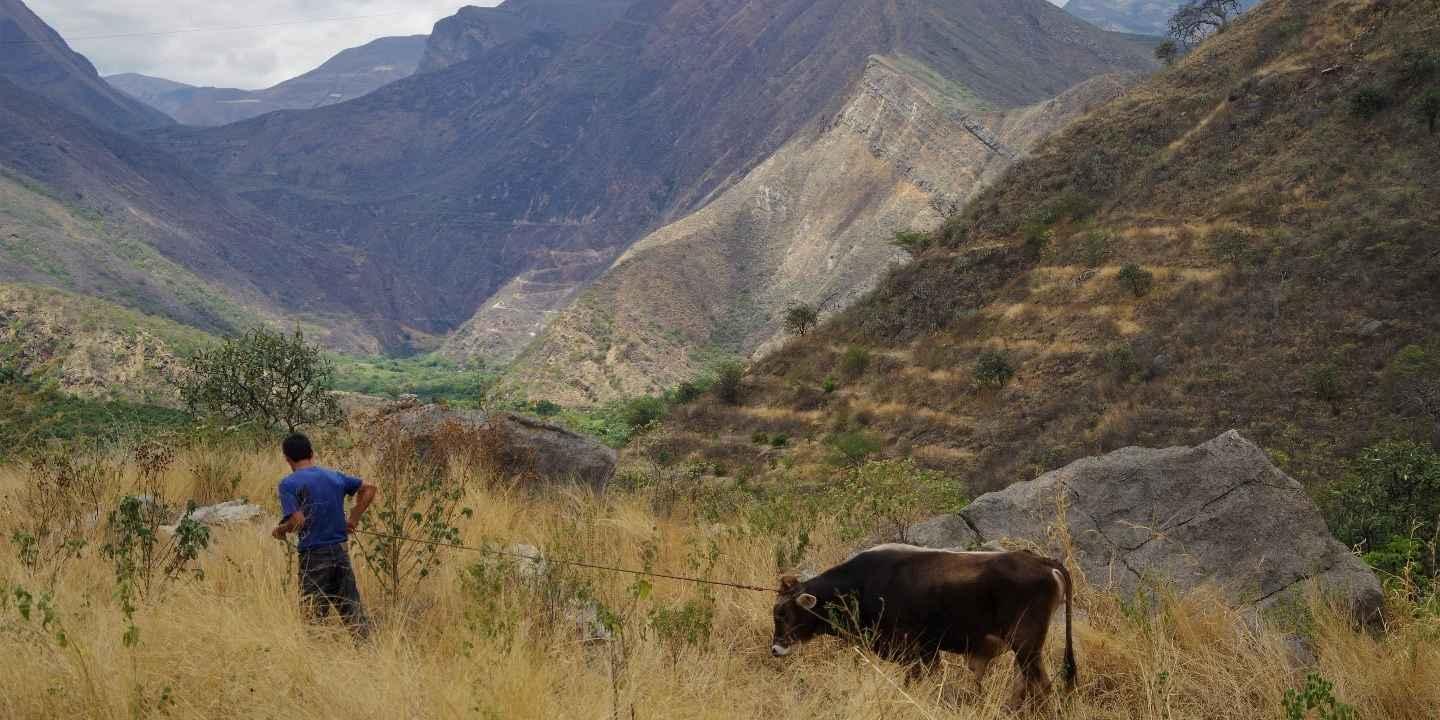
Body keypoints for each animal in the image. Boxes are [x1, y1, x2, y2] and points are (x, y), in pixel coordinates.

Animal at [771, 544, 1077, 702]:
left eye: (783, 613)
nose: (775, 648)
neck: (862, 584)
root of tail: (1042, 561)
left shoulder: (912, 651)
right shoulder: (928, 653)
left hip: (1027, 646)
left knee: (1042, 686)